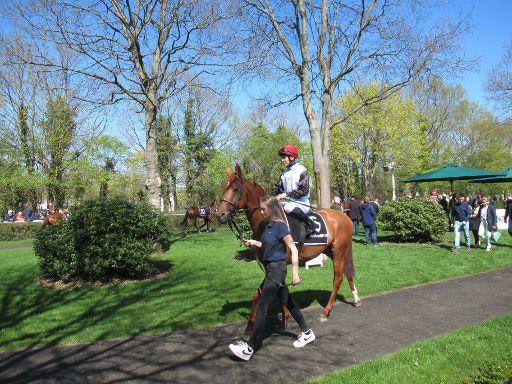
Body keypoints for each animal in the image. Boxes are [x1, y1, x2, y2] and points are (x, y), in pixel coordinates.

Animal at [216, 164, 360, 334]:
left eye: (236, 189)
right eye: (223, 187)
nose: (220, 214)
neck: (268, 222)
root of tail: (344, 216)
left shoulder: (279, 262)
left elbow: (269, 292)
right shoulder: (271, 264)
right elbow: (262, 293)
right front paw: (255, 324)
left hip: (338, 252)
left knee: (337, 278)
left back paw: (326, 311)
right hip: (332, 251)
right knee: (347, 272)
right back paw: (356, 299)